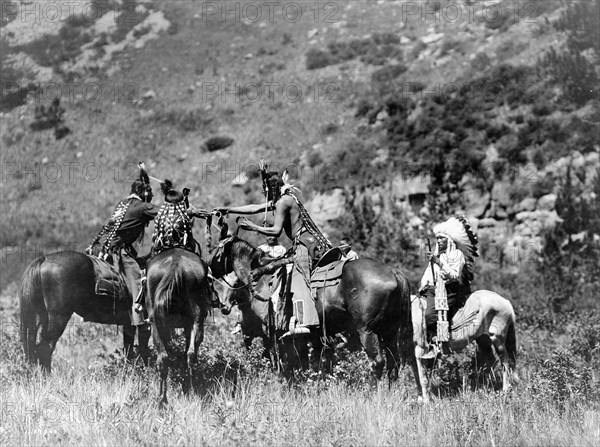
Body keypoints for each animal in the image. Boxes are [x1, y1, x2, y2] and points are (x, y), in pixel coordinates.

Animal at [19, 250, 150, 372]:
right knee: (45, 347)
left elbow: (129, 350)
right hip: (59, 317)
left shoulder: (130, 324)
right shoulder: (145, 324)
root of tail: (44, 259)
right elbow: (143, 349)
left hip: (43, 317)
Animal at [144, 248, 212, 406]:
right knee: (189, 354)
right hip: (195, 319)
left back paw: (163, 399)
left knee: (165, 358)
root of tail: (176, 264)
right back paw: (188, 392)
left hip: (156, 322)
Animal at [209, 236, 414, 384]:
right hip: (390, 331)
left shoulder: (272, 331)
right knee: (394, 363)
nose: (209, 269)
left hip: (367, 330)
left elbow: (281, 361)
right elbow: (309, 363)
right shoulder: (310, 336)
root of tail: (394, 272)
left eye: (217, 250)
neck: (263, 277)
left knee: (377, 362)